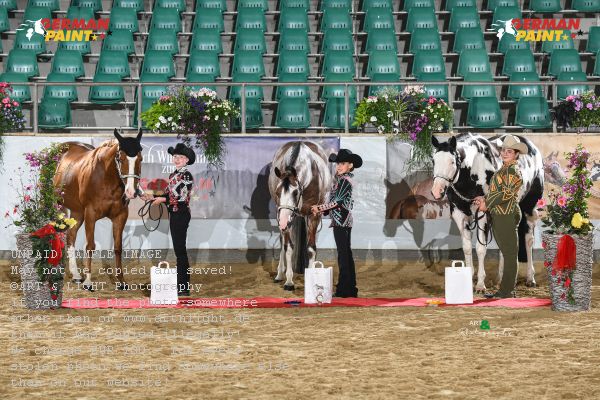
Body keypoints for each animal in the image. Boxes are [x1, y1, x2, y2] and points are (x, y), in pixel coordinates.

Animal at [53, 130, 143, 290]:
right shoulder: (91, 214)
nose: (131, 191)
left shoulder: (121, 216)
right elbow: (90, 245)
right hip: (60, 206)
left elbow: (118, 247)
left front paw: (121, 281)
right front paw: (88, 282)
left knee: (71, 236)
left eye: (140, 158)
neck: (106, 178)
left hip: (77, 212)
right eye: (120, 158)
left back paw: (76, 276)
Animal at [268, 141, 332, 290]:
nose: (283, 221)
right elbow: (288, 247)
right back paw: (280, 274)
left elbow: (311, 248)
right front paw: (289, 281)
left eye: (295, 192)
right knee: (282, 242)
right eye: (278, 192)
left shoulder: (314, 215)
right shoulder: (286, 217)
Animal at [428, 133, 548, 292]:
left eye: (452, 161)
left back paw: (530, 278)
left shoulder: (482, 214)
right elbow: (467, 248)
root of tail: (531, 146)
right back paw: (502, 278)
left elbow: (480, 249)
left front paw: (480, 284)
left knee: (528, 240)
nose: (437, 191)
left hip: (529, 208)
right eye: (434, 160)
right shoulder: (459, 214)